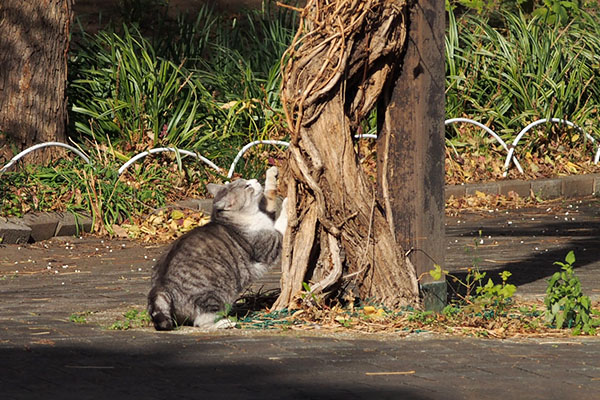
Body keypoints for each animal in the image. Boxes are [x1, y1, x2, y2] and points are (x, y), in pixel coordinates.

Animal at [146, 167, 286, 330]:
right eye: (247, 186)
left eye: (247, 181)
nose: (256, 180)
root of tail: (160, 288)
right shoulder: (269, 245)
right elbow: (281, 225)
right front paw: (288, 204)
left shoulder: (268, 213)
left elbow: (269, 196)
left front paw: (271, 173)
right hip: (214, 296)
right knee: (201, 322)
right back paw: (225, 323)